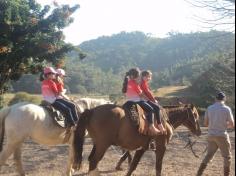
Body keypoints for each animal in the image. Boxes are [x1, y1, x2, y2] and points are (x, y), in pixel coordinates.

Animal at [72, 104, 201, 175]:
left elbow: (133, 166)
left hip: (97, 144)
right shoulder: (161, 147)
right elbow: (158, 167)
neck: (164, 120)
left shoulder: (142, 148)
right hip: (102, 145)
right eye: (195, 115)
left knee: (91, 160)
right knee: (94, 161)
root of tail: (92, 110)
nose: (199, 132)